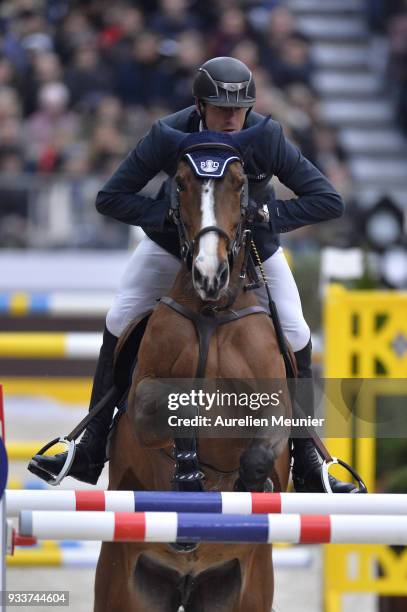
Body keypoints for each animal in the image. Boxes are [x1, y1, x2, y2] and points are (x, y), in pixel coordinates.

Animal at [95, 120, 294, 612]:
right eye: (180, 184)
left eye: (241, 184)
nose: (209, 274)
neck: (211, 311)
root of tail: (187, 580)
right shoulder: (146, 397)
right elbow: (171, 414)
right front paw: (187, 472)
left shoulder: (274, 406)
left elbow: (260, 449)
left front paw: (249, 490)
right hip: (122, 581)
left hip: (244, 589)